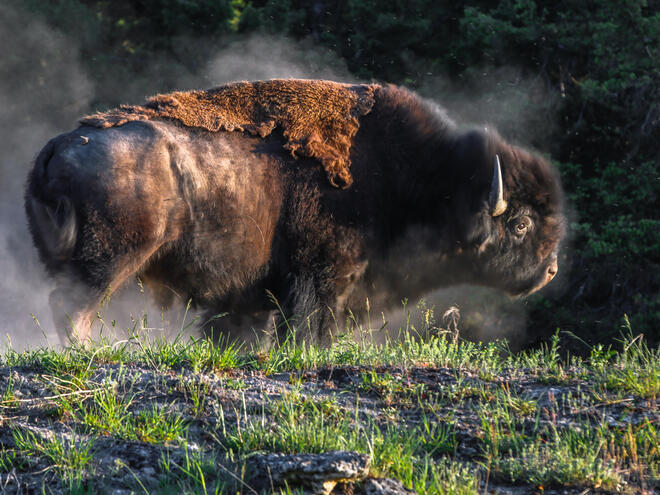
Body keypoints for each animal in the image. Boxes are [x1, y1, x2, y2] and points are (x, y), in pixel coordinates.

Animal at [23, 79, 564, 346]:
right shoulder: (320, 278)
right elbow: (309, 328)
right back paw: (90, 352)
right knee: (72, 306)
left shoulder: (247, 297)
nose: (551, 270)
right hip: (108, 261)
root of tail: (56, 146)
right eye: (520, 223)